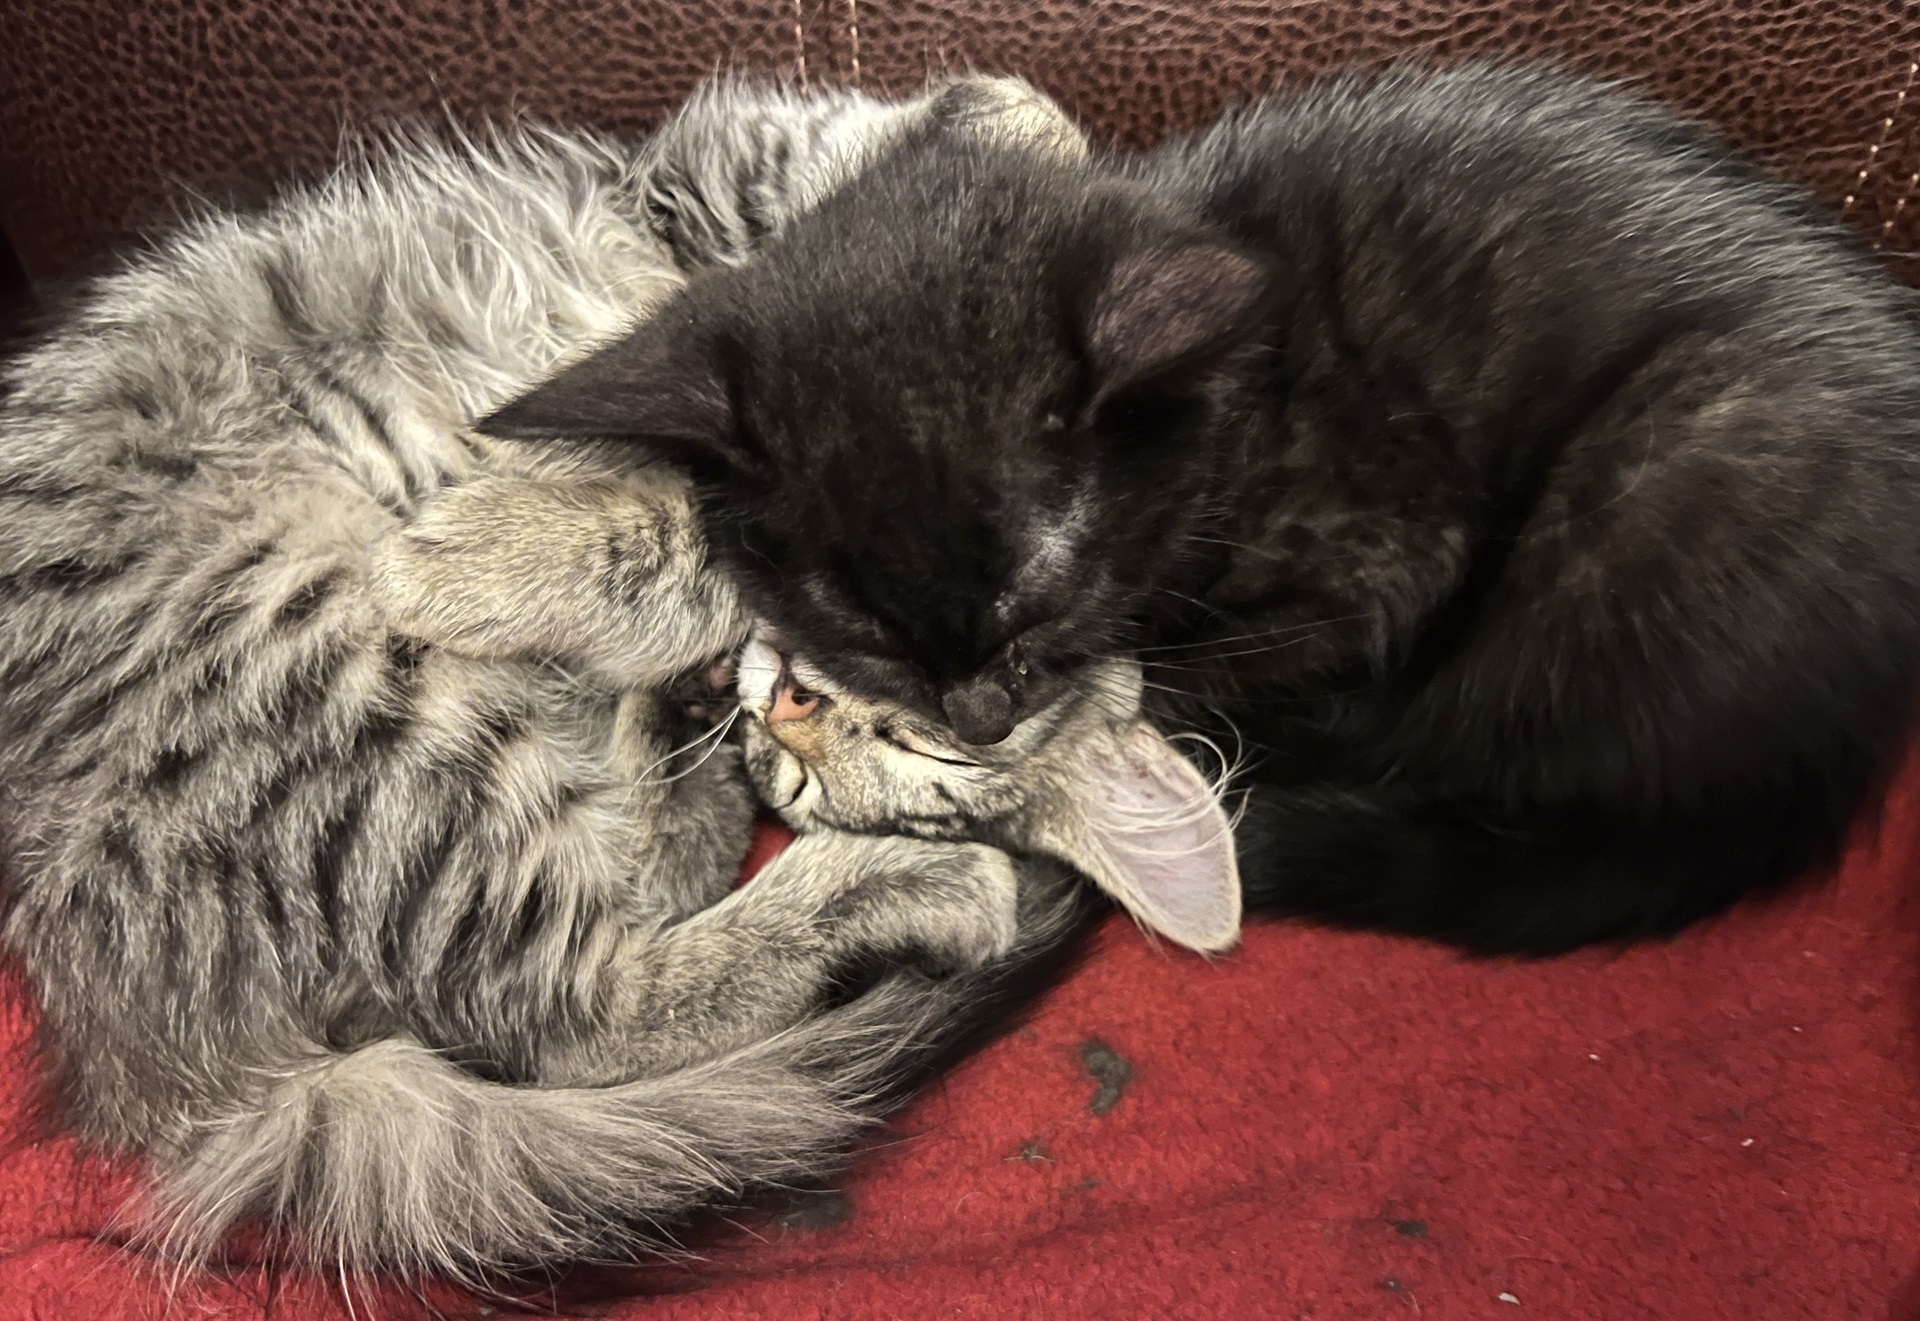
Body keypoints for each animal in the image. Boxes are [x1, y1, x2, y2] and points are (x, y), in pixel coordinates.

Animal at [0, 72, 1228, 1282]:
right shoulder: (714, 189)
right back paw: (895, 869)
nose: (795, 709)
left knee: (593, 976)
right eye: (907, 711)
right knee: (572, 1013)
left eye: (920, 747)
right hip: (335, 678)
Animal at [487, 64, 1920, 948]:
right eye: (866, 635)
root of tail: (1840, 747)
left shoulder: (1375, 564)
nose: (980, 714)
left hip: (1652, 496)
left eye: (1035, 605)